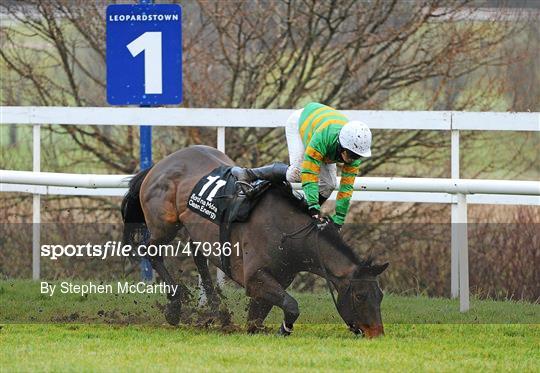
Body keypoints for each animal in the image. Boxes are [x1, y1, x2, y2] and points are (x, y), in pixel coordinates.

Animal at [121, 145, 388, 338]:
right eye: (359, 296)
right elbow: (291, 304)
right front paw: (283, 329)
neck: (288, 233)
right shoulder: (254, 277)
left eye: (380, 296)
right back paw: (175, 306)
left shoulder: (277, 278)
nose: (377, 334)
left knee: (200, 261)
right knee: (151, 251)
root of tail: (160, 164)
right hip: (164, 225)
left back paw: (219, 312)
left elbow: (258, 315)